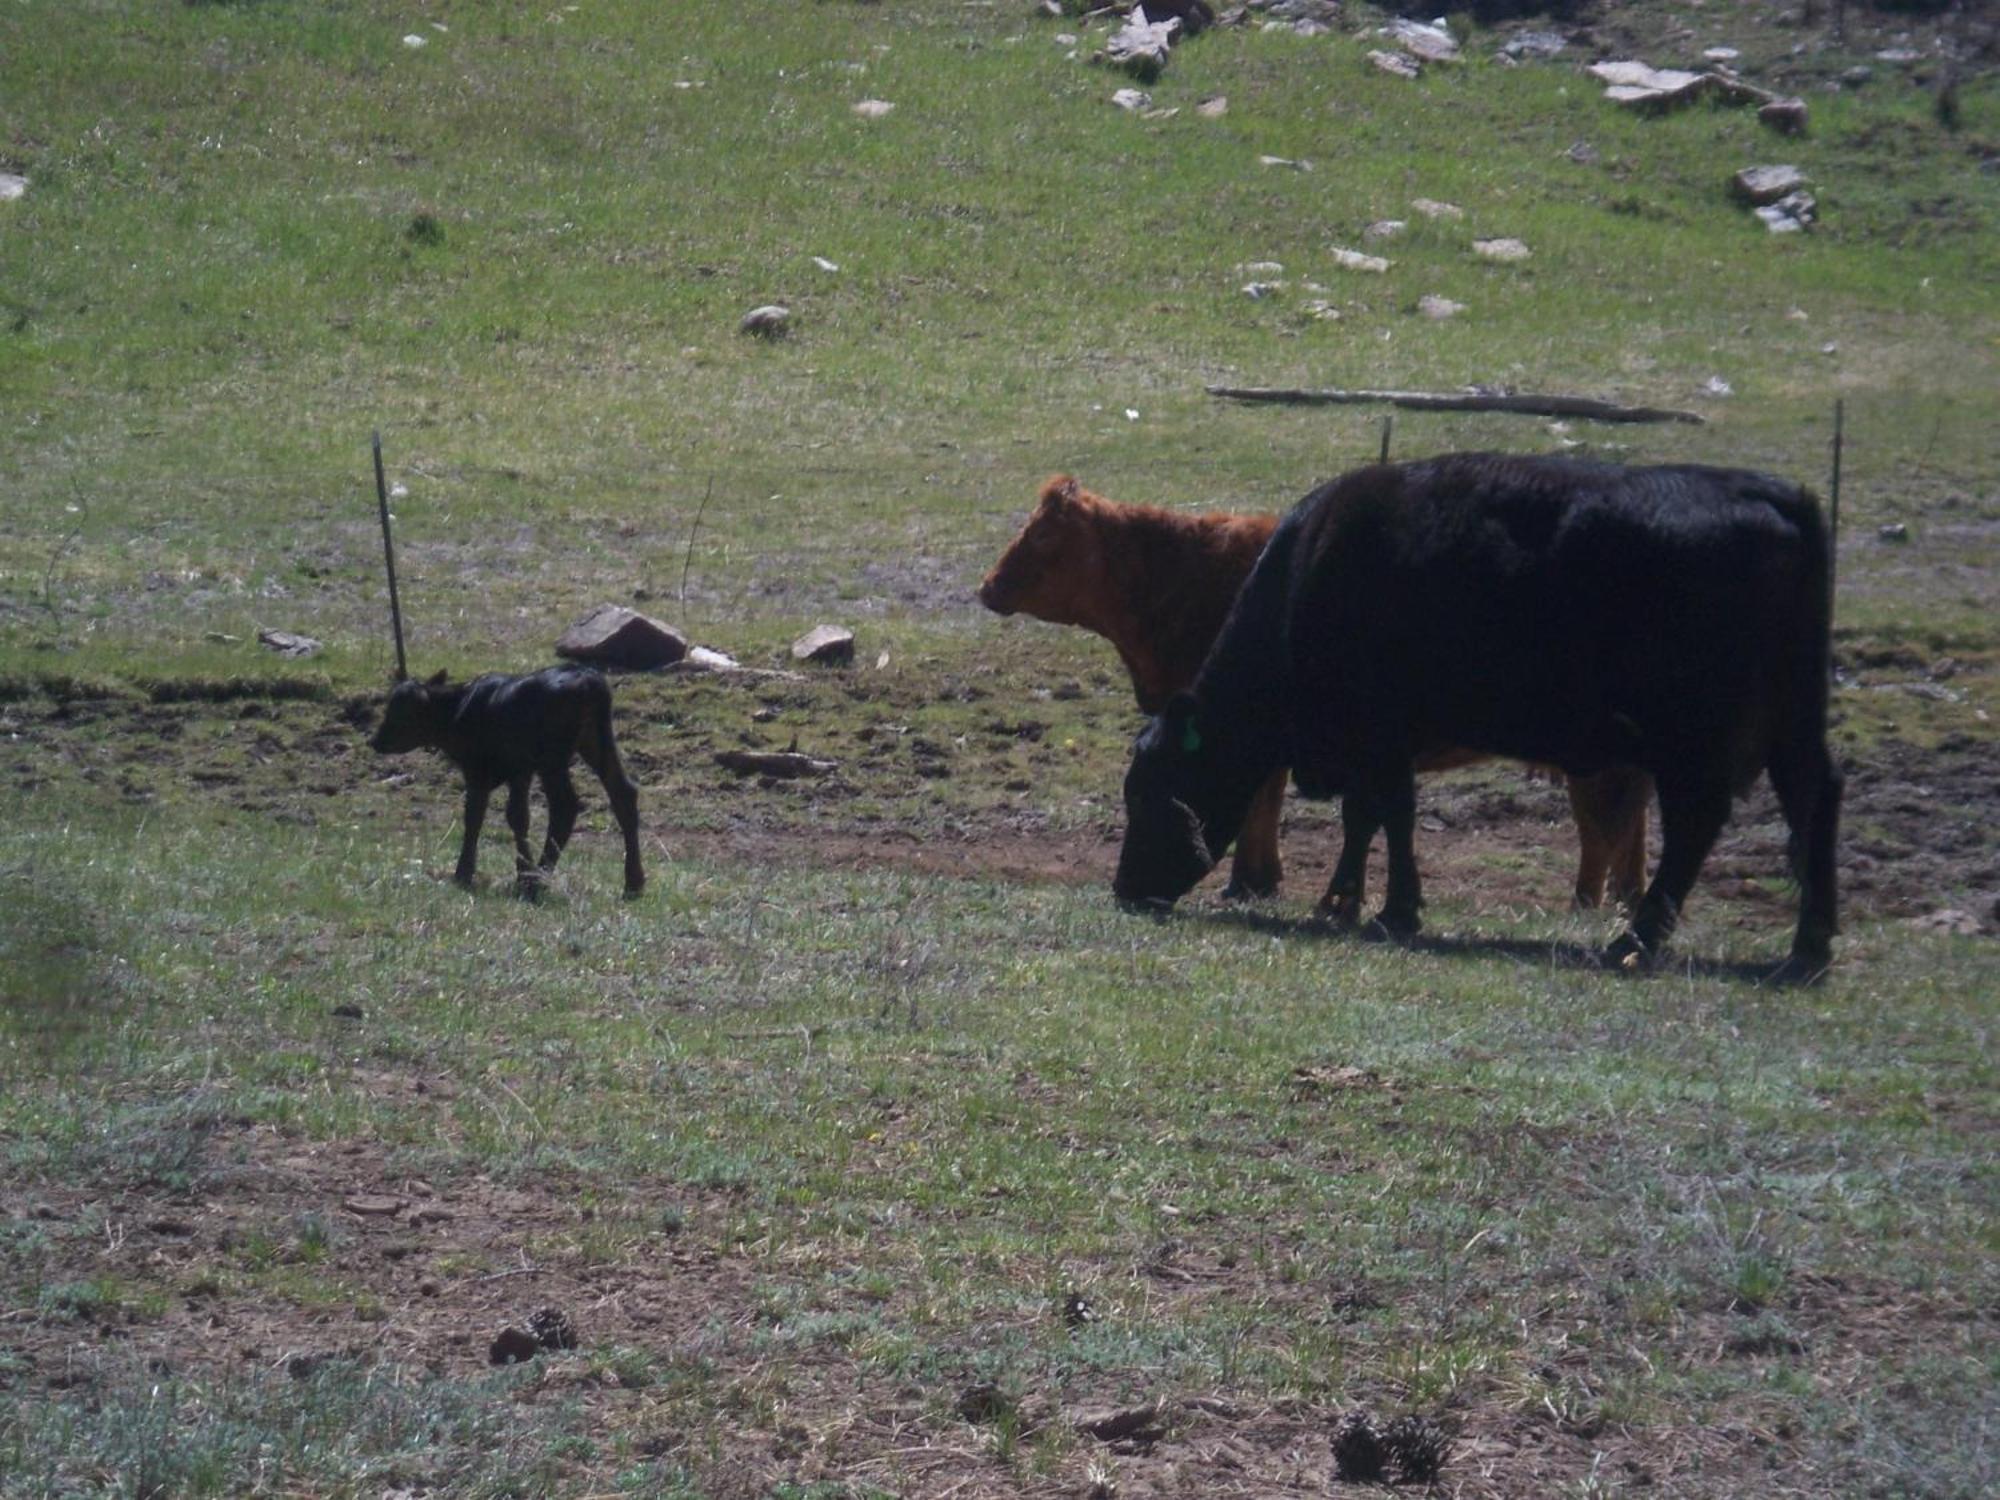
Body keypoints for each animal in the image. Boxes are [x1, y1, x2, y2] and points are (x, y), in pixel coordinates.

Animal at [372, 672, 644, 904]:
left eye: (400, 712)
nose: (375, 741)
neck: (459, 710)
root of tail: (587, 678)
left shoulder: (477, 770)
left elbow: (474, 816)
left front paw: (464, 873)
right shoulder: (520, 772)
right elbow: (518, 817)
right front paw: (521, 871)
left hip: (552, 758)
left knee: (564, 806)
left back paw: (538, 881)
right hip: (595, 741)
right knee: (623, 793)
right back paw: (633, 883)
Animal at [976, 476, 1648, 912]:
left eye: (1042, 539)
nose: (987, 586)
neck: (1185, 576)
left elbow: (1264, 803)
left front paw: (1253, 881)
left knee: (1607, 817)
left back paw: (1594, 900)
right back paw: (1619, 896)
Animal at [1120, 452, 1832, 980]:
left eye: (1153, 792)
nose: (1125, 890)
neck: (1309, 574)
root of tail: (1769, 493)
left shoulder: (1382, 737)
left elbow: (1391, 814)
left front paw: (1392, 912)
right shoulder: (1372, 747)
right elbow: (1364, 818)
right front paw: (1343, 903)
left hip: (1692, 739)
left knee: (1697, 823)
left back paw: (1635, 941)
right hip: (1792, 722)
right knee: (1813, 797)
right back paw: (1807, 950)